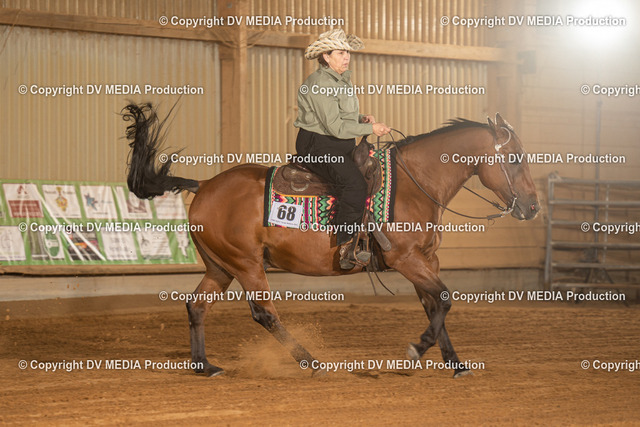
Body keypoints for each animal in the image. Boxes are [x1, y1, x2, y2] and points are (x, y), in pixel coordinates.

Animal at [122, 103, 540, 378]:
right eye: (515, 158)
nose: (533, 207)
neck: (414, 184)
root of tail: (205, 184)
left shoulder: (425, 261)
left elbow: (435, 304)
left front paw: (455, 363)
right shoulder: (407, 260)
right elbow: (445, 299)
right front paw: (414, 352)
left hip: (221, 267)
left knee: (196, 305)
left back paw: (204, 365)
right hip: (247, 265)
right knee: (264, 313)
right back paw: (312, 362)